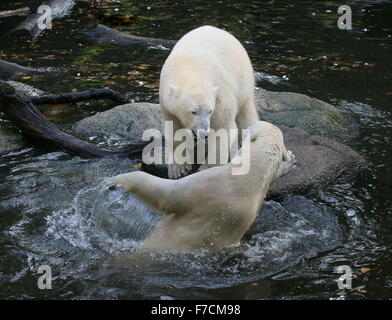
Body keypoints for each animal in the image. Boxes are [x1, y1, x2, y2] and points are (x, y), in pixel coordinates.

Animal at [112, 121, 294, 251]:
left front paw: (117, 181)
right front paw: (289, 161)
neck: (251, 177)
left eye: (254, 125)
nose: (246, 126)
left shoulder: (208, 185)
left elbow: (168, 194)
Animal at [158, 25, 258, 180]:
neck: (189, 67)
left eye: (210, 111)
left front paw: (207, 168)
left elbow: (222, 127)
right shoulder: (167, 101)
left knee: (246, 116)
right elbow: (174, 129)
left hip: (243, 81)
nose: (204, 132)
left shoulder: (220, 93)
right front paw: (178, 169)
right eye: (193, 111)